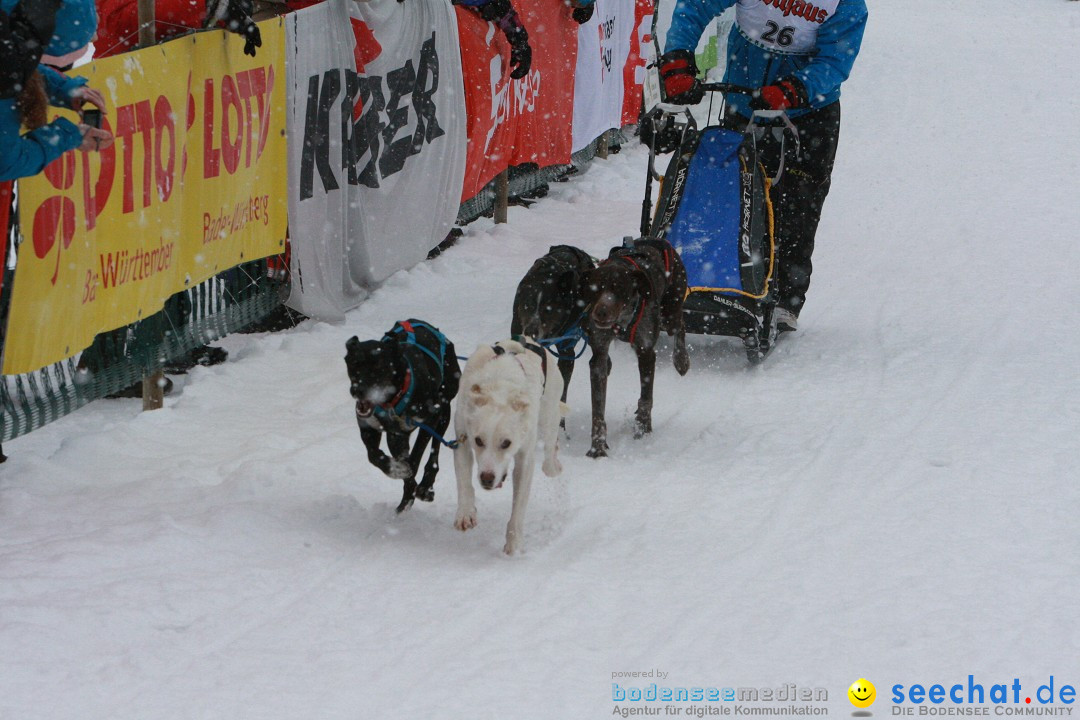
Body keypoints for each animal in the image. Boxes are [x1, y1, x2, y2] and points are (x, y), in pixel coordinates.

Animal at [345, 319, 460, 511]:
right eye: (354, 363)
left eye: (379, 366)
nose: (357, 390)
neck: (392, 399)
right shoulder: (382, 431)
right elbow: (374, 455)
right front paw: (398, 473)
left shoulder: (430, 419)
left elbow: (416, 455)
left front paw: (411, 487)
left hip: (444, 408)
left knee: (435, 449)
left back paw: (426, 485)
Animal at [453, 338, 570, 557]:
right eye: (478, 441)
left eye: (506, 443)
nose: (487, 478)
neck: (499, 387)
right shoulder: (462, 438)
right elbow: (464, 481)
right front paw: (466, 512)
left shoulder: (525, 459)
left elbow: (518, 508)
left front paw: (514, 543)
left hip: (549, 417)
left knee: (550, 453)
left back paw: (554, 463)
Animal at [583, 239, 691, 459]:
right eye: (595, 288)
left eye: (619, 288)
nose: (600, 312)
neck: (621, 321)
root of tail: (661, 240)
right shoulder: (598, 354)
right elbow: (598, 410)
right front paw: (597, 446)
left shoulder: (645, 351)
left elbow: (646, 397)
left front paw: (643, 427)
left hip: (670, 314)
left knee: (681, 325)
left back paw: (681, 360)